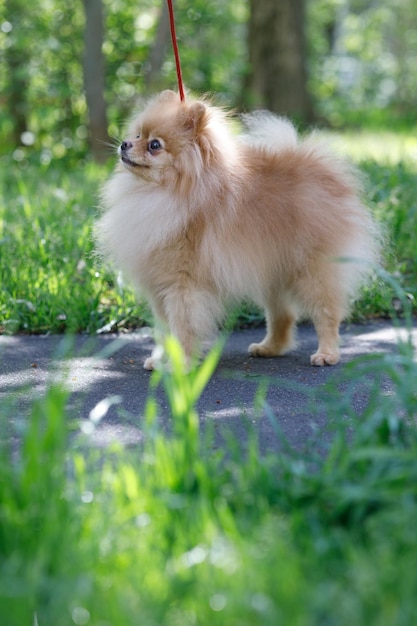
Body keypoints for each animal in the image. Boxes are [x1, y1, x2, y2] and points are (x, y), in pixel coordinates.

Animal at [96, 90, 378, 368]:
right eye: (137, 135)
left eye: (154, 145)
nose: (124, 144)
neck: (160, 193)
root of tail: (321, 170)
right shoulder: (159, 286)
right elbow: (164, 331)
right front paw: (162, 361)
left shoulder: (183, 286)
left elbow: (183, 329)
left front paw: (182, 365)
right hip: (272, 271)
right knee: (283, 315)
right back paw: (269, 348)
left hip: (313, 271)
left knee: (326, 312)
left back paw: (326, 354)